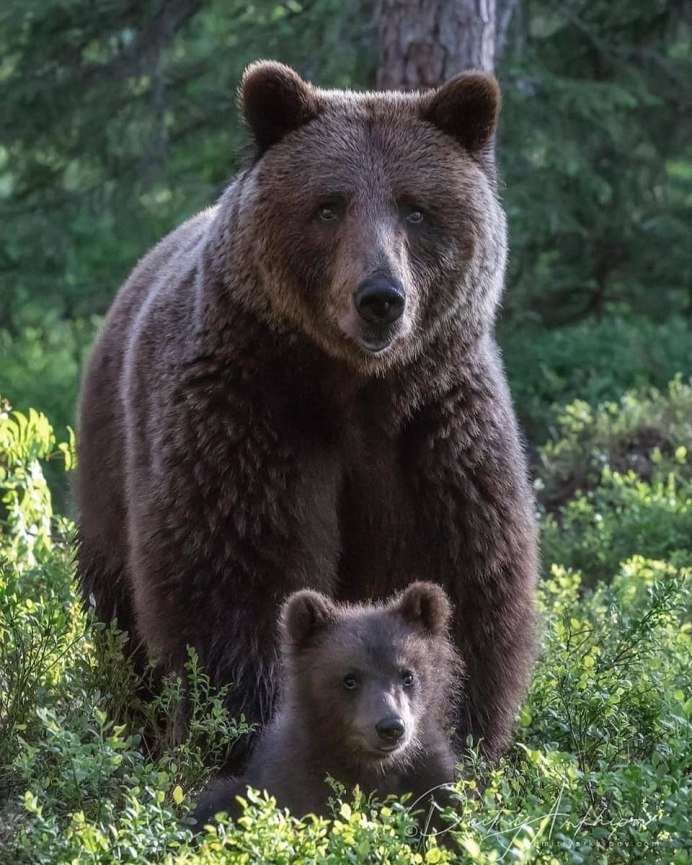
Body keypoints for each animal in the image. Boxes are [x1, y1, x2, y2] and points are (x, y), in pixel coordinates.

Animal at [77, 62, 540, 756]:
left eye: (416, 208)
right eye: (329, 205)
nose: (380, 297)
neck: (355, 387)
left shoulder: (436, 434)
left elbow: (460, 582)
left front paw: (459, 738)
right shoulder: (248, 416)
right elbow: (239, 579)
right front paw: (250, 735)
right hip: (110, 472)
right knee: (121, 625)